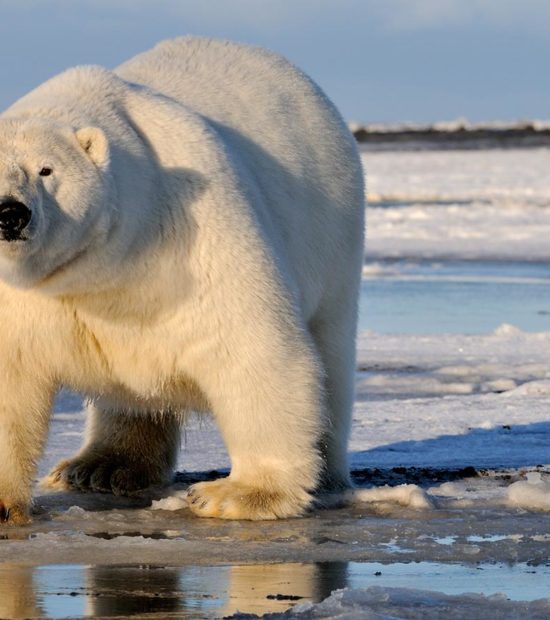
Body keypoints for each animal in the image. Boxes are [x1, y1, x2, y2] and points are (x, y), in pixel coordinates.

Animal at [0, 37, 364, 524]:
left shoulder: (190, 237)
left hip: (331, 237)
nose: (11, 214)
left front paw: (242, 493)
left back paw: (325, 472)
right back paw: (100, 467)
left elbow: (251, 346)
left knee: (329, 352)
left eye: (46, 169)